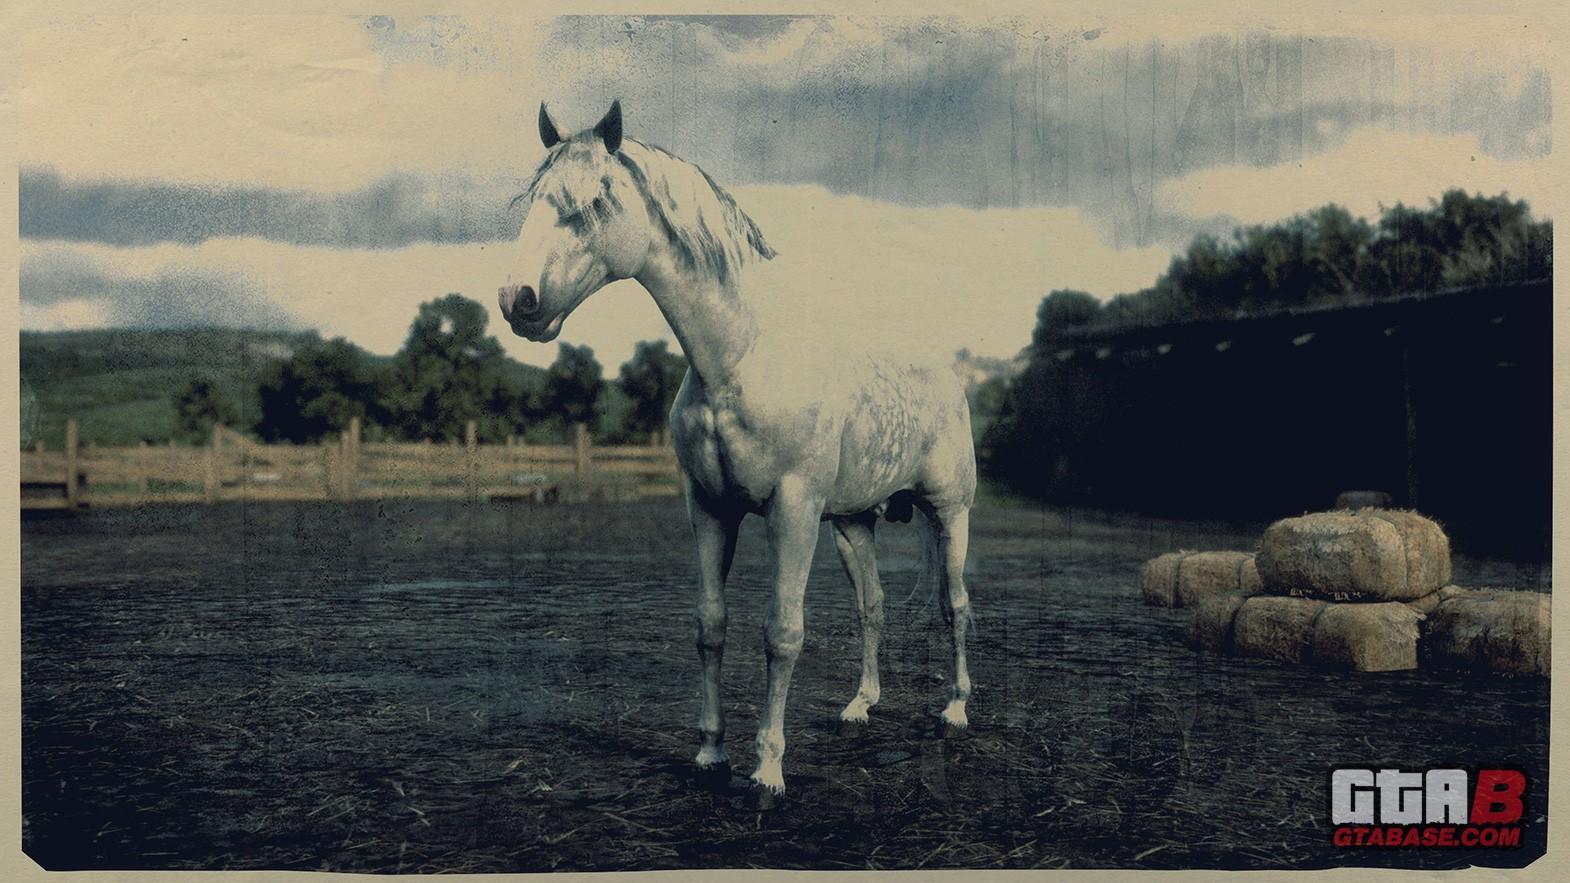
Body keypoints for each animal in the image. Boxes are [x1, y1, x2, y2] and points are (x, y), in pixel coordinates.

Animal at [498, 100, 977, 805]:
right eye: (533, 200)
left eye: (593, 202)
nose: (518, 301)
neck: (739, 357)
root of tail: (947, 374)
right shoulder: (709, 510)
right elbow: (711, 626)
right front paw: (710, 753)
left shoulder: (792, 512)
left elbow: (783, 633)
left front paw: (767, 771)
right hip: (853, 524)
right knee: (873, 607)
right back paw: (861, 705)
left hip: (949, 515)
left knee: (955, 605)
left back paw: (956, 709)